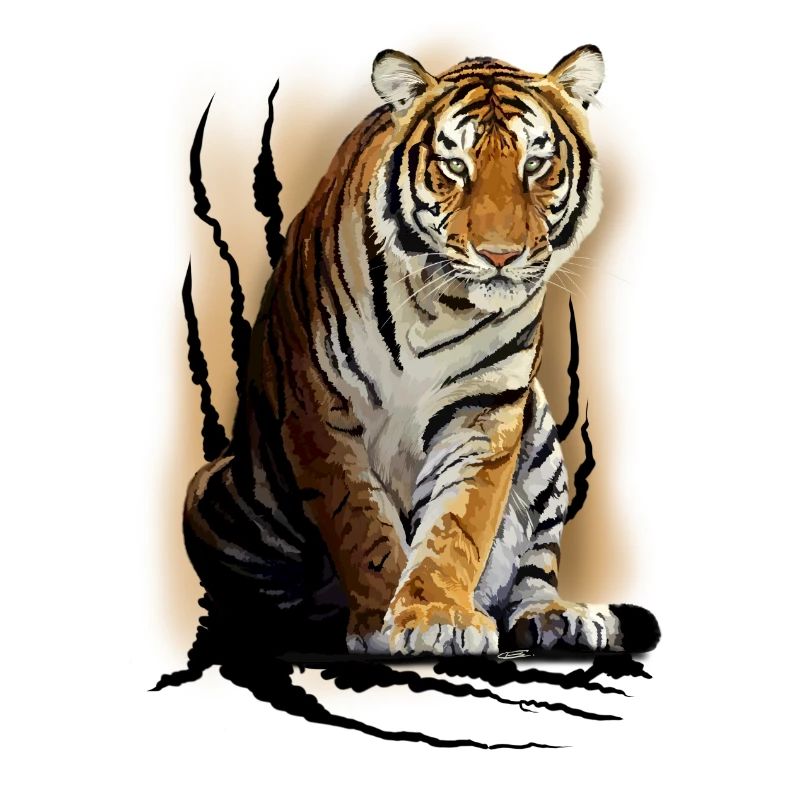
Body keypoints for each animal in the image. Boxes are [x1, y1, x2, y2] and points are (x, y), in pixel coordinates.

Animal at [183, 44, 660, 658]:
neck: (440, 307)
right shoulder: (320, 410)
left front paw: (438, 614)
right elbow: (361, 522)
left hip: (545, 445)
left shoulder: (484, 412)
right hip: (215, 493)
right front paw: (382, 623)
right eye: (455, 166)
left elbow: (460, 522)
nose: (500, 255)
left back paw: (562, 619)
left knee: (536, 569)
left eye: (535, 165)